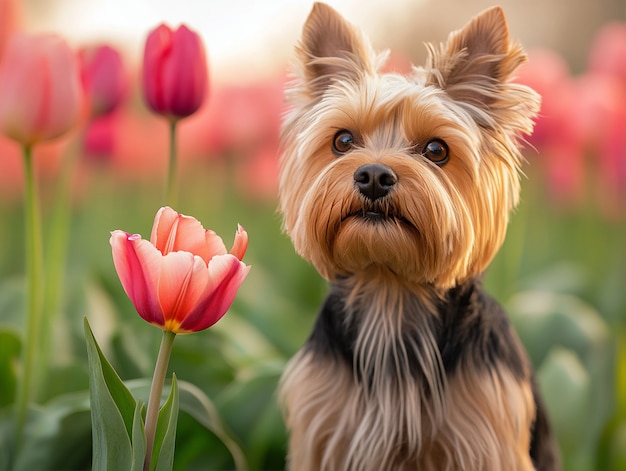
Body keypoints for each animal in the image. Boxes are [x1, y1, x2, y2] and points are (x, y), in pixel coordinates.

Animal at [276, 4, 560, 471]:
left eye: (436, 150)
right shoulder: (323, 430)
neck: (391, 287)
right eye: (343, 140)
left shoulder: (486, 433)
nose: (374, 175)